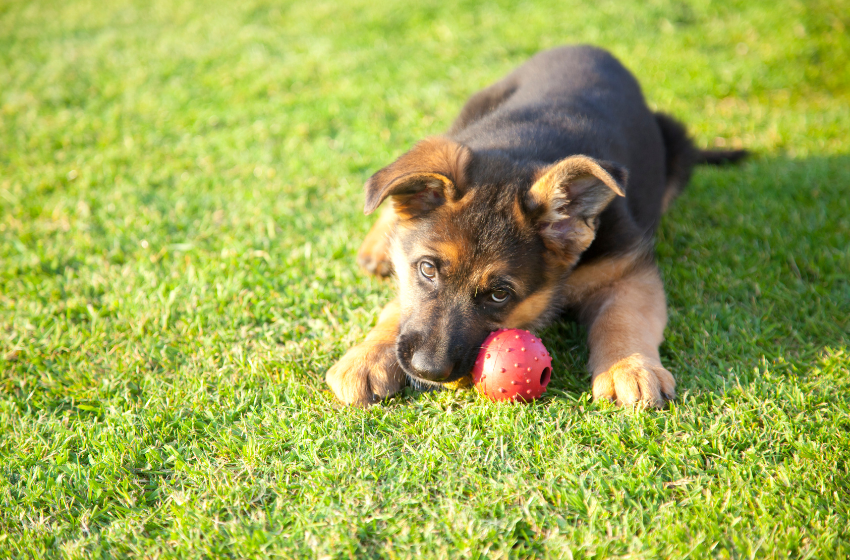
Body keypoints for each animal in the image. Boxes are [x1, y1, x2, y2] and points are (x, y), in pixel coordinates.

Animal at [324, 44, 744, 406]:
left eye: (499, 295)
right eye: (427, 270)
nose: (428, 370)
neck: (523, 148)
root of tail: (585, 46)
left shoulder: (626, 270)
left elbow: (625, 317)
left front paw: (630, 367)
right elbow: (399, 305)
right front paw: (367, 356)